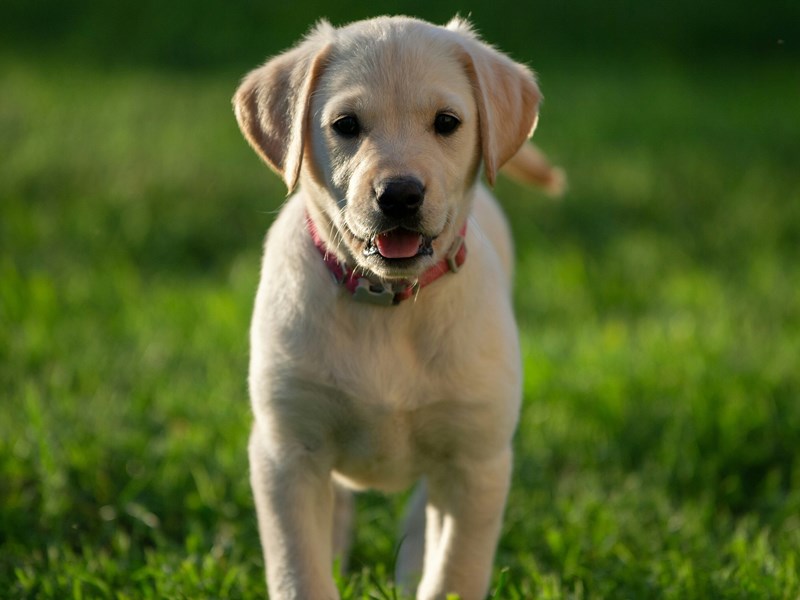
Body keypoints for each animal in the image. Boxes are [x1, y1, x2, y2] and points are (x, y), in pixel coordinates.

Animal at [234, 15, 564, 600]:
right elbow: (300, 571)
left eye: (447, 122)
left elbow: (454, 572)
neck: (388, 303)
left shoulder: (476, 460)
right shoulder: (285, 451)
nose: (400, 195)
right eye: (345, 124)